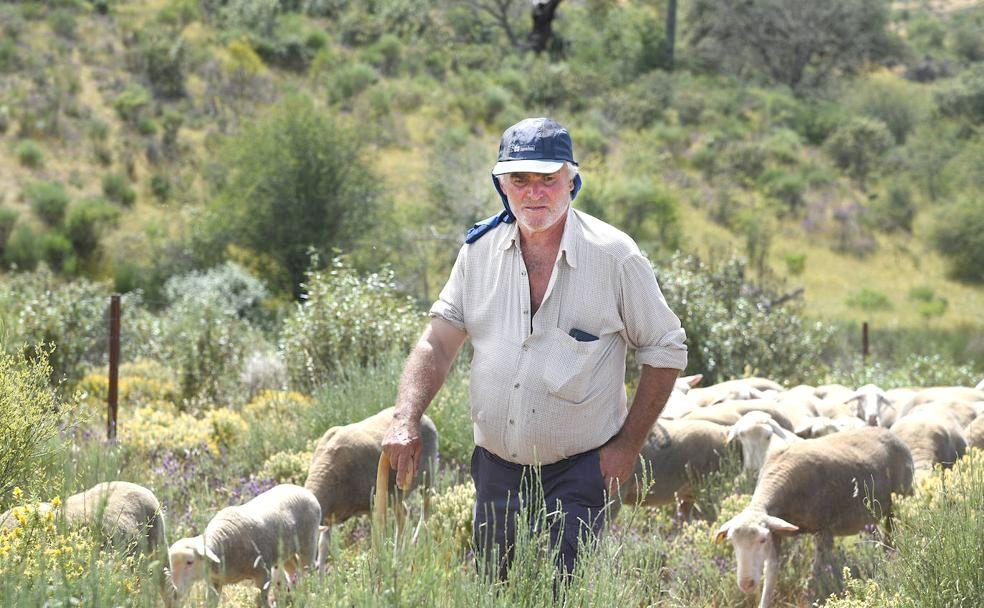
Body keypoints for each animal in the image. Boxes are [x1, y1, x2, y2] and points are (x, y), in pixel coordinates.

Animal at [168, 484, 320, 608]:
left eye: (190, 562)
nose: (174, 591)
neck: (222, 543)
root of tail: (302, 489)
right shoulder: (214, 582)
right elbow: (210, 603)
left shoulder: (263, 574)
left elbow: (261, 601)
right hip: (286, 551)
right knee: (293, 570)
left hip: (308, 543)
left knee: (307, 572)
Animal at [302, 408, 436, 568]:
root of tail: (426, 418)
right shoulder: (329, 517)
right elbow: (323, 548)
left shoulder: (373, 506)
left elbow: (377, 537)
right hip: (395, 494)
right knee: (403, 516)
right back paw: (399, 555)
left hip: (427, 478)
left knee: (425, 510)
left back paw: (418, 541)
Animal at [716, 428, 916, 608]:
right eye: (732, 542)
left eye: (762, 540)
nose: (746, 583)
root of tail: (891, 434)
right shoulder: (776, 531)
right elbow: (771, 573)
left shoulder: (824, 530)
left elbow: (815, 576)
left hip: (897, 502)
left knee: (891, 538)